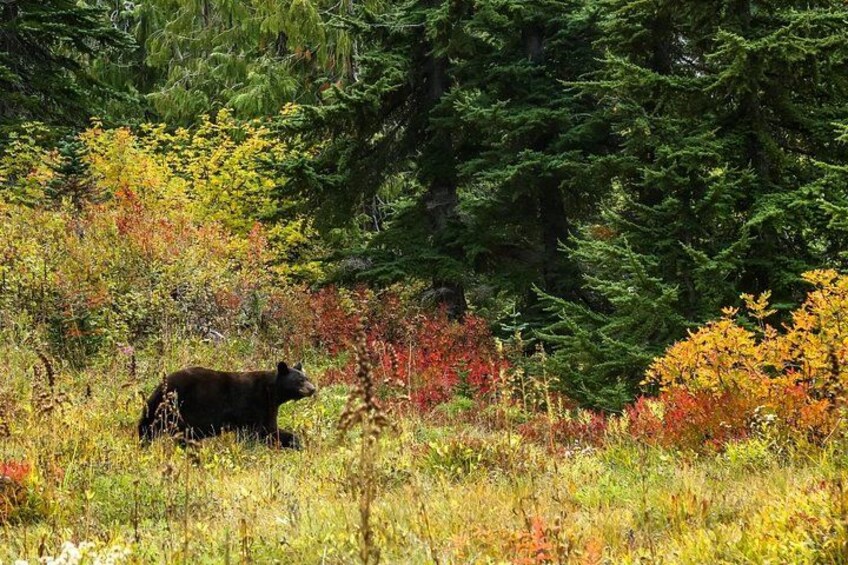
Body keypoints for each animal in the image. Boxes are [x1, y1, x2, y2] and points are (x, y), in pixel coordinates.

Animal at [138, 362, 316, 449]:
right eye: (300, 380)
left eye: (307, 377)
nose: (313, 389)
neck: (271, 392)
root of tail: (161, 385)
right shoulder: (253, 404)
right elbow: (257, 432)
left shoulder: (268, 408)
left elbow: (271, 429)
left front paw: (297, 443)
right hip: (172, 408)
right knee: (149, 426)